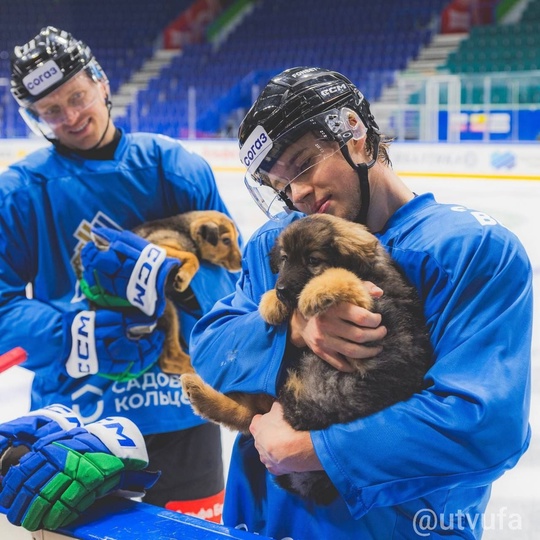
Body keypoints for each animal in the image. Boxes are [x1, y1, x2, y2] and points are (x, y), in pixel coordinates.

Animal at [182, 213, 434, 504]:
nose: (281, 290)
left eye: (313, 260)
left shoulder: (370, 303)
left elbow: (341, 275)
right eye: (284, 259)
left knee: (251, 413)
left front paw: (311, 294)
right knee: (249, 412)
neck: (369, 269)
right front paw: (271, 303)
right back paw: (196, 390)